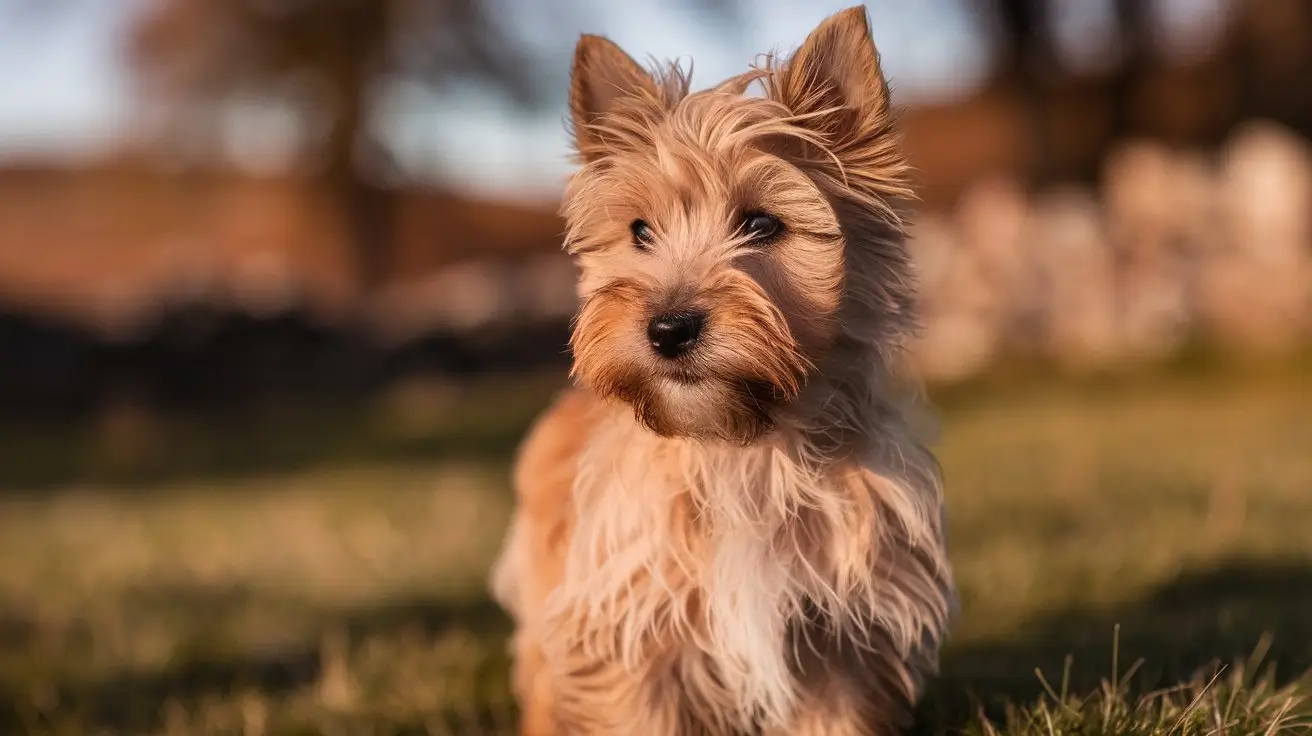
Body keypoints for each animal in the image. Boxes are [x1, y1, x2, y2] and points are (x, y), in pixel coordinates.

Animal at [490, 7, 955, 734]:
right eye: (641, 231)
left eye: (762, 224)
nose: (668, 328)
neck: (741, 451)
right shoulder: (630, 632)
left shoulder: (840, 635)